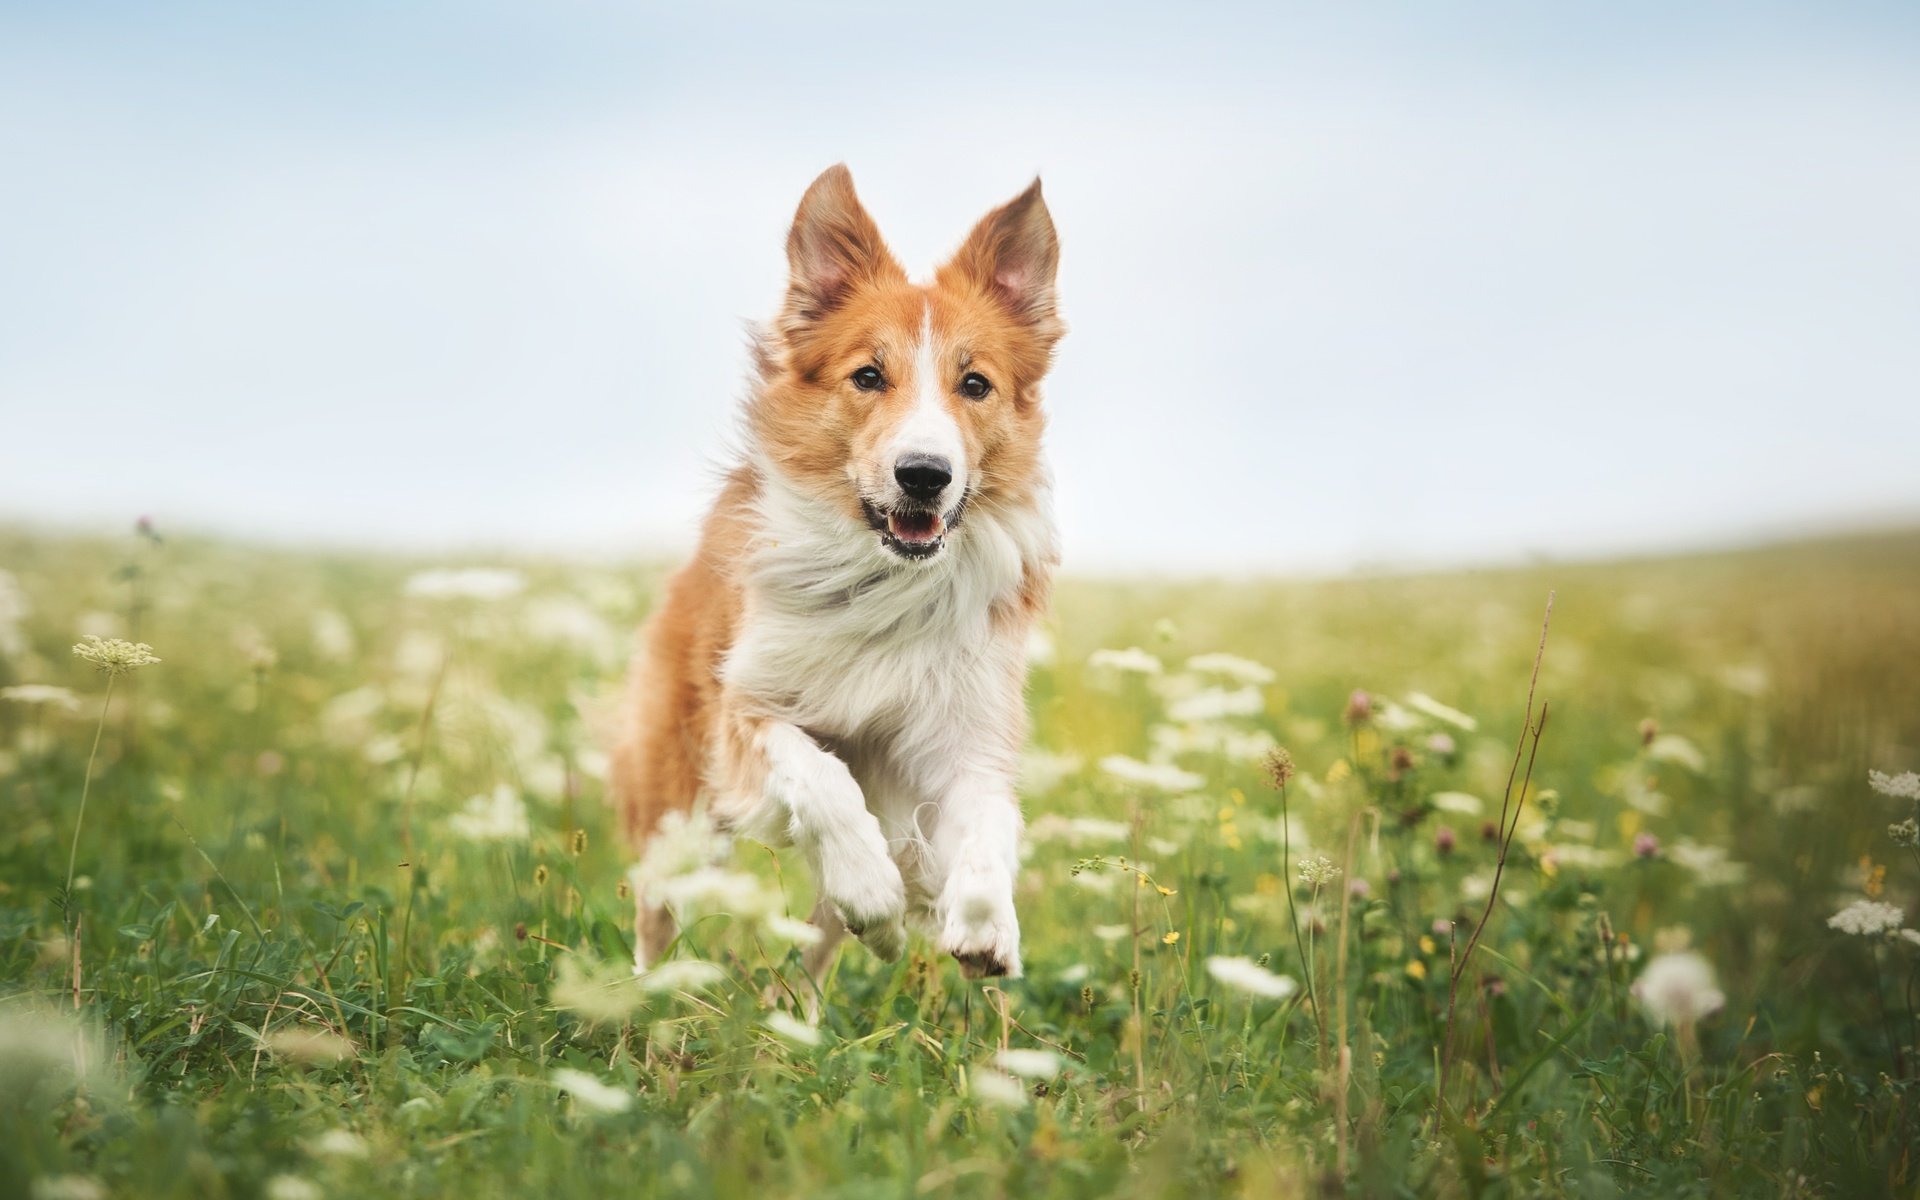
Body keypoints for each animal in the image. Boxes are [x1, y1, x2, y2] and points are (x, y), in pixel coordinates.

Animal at [610, 161, 1067, 983]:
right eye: (868, 376)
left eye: (975, 384)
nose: (924, 475)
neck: (886, 581)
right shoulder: (746, 711)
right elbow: (822, 776)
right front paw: (872, 886)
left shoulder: (964, 735)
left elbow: (991, 820)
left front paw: (986, 925)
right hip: (677, 805)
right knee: (657, 915)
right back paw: (651, 994)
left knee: (814, 960)